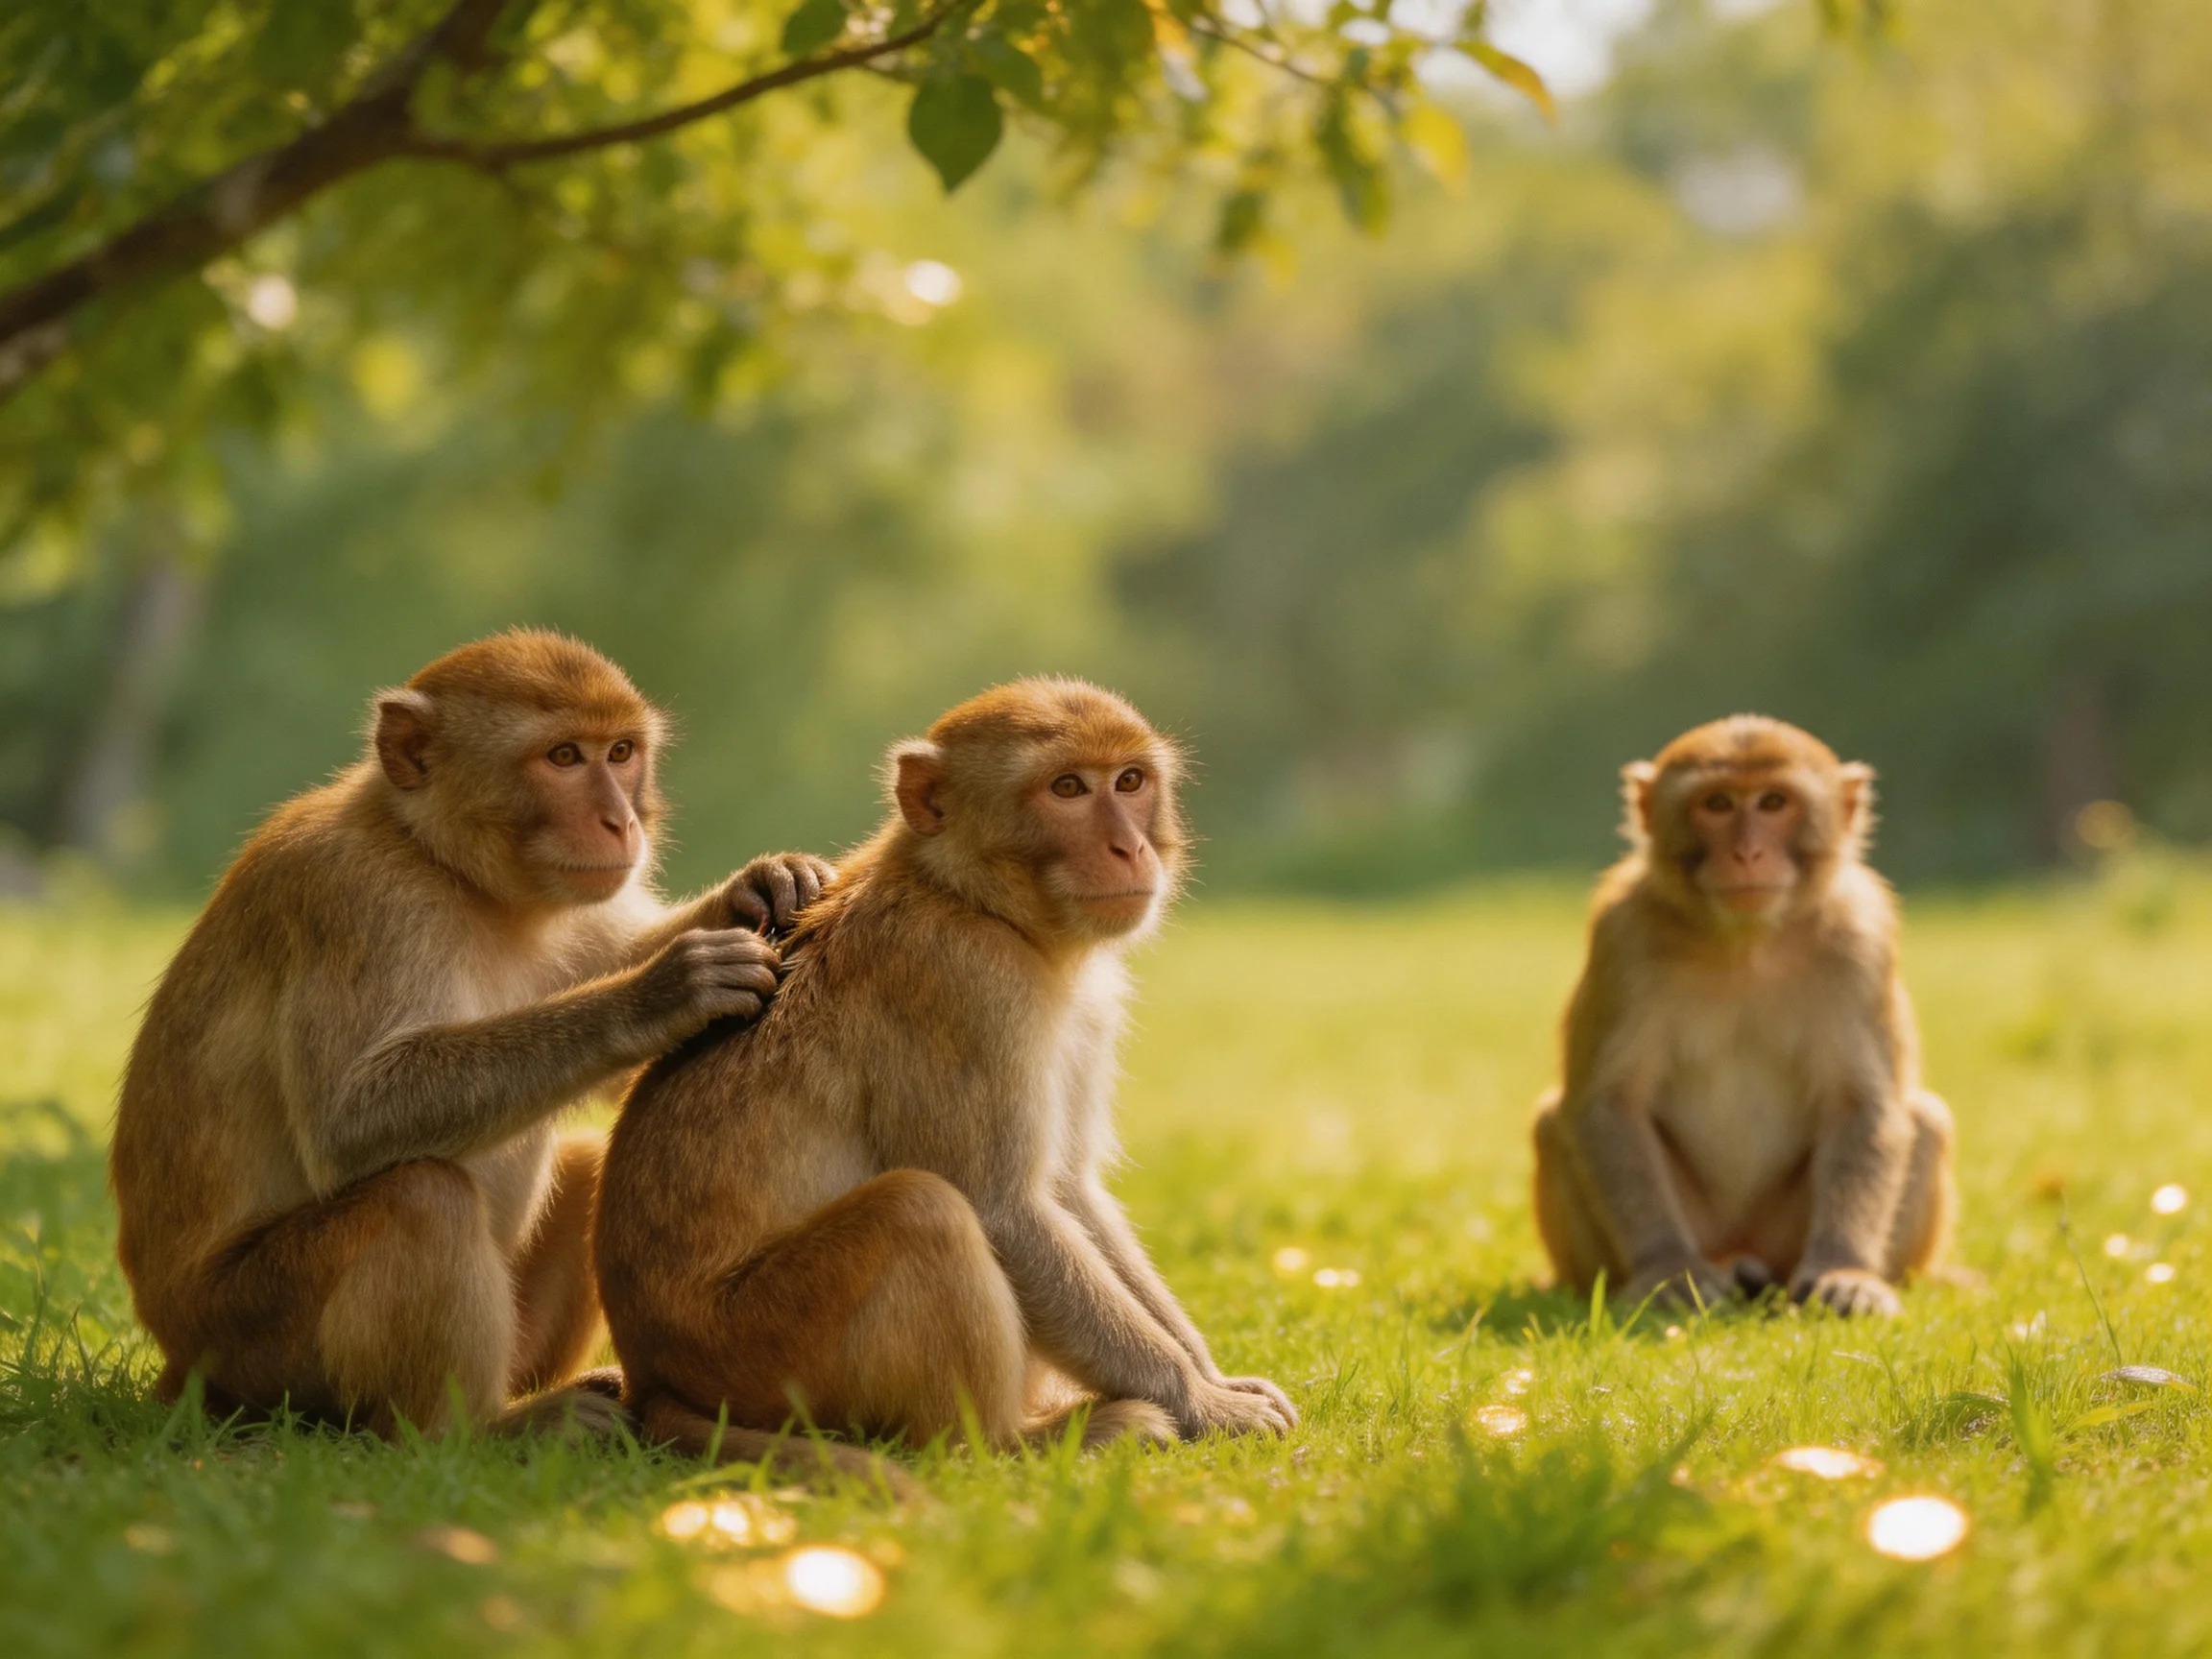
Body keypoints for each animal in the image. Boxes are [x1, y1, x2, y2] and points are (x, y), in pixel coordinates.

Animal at [109, 629, 837, 1446]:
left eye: (620, 752)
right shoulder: (357, 900)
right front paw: (663, 991)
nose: (621, 822)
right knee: (422, 1197)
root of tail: (178, 1364)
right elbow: (349, 1121)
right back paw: (480, 1430)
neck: (440, 863)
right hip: (247, 1343)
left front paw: (763, 885)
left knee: (580, 1168)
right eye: (563, 758)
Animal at [594, 678, 1297, 1468]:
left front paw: (1214, 1378)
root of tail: (653, 1378)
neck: (970, 897)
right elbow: (1004, 1208)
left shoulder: (1080, 1008)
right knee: (920, 1211)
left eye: (1129, 781)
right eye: (1067, 788)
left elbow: (1067, 1189)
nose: (1131, 846)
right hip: (759, 1353)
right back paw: (1019, 1441)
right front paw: (1203, 1403)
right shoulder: (970, 982)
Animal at [1530, 714, 1955, 1318]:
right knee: (1552, 1124)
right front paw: (1667, 1270)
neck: (1747, 944)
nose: (1748, 853)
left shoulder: (1861, 939)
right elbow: (1608, 1104)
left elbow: (1862, 1105)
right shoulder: (1622, 935)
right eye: (1718, 804)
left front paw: (1844, 1271)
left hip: (1785, 1237)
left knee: (1924, 1119)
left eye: (1774, 802)